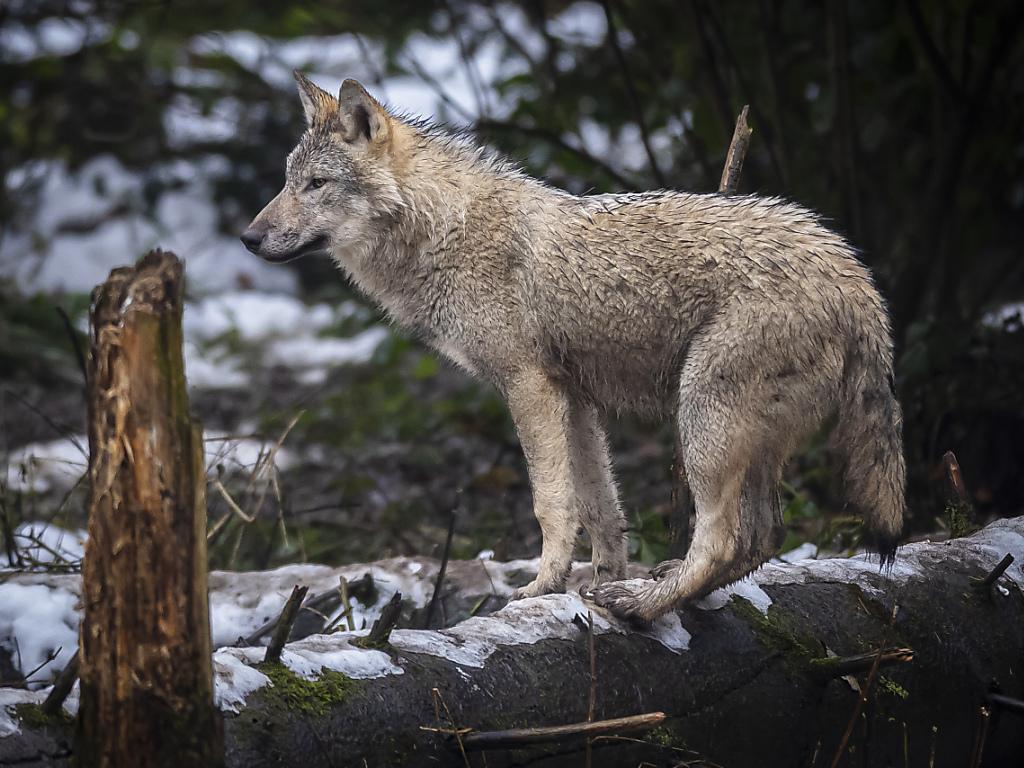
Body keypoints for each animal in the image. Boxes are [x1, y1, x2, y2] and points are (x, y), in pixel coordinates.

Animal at [239, 73, 905, 626]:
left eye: (317, 185)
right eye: (287, 182)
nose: (248, 237)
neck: (444, 232)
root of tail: (854, 275)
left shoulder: (529, 388)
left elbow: (550, 503)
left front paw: (542, 586)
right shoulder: (576, 399)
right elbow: (600, 507)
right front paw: (593, 580)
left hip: (702, 421)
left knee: (722, 540)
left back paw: (643, 604)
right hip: (745, 440)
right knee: (763, 538)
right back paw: (657, 592)